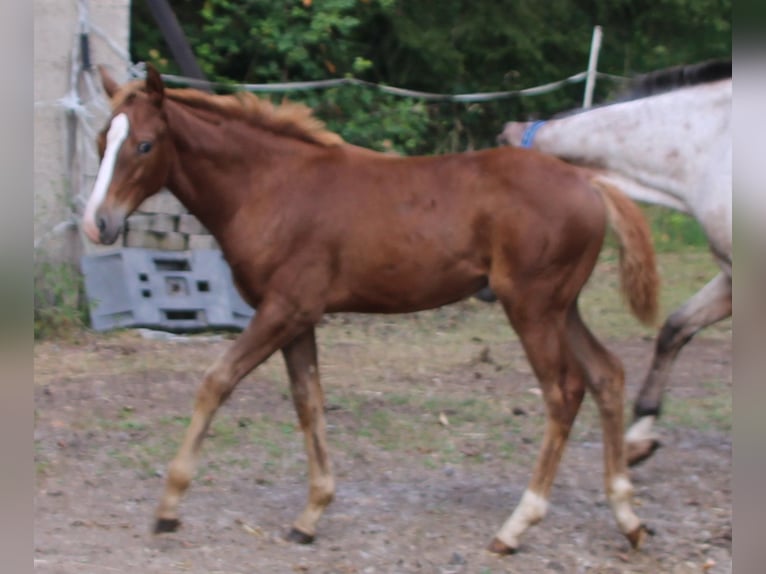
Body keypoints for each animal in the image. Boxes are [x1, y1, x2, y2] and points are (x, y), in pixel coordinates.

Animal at [82, 65, 660, 556]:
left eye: (144, 144)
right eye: (100, 143)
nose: (97, 224)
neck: (271, 186)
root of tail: (588, 181)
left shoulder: (283, 310)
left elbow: (216, 381)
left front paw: (168, 507)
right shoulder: (298, 318)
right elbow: (308, 401)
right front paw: (310, 515)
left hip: (532, 306)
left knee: (564, 393)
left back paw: (516, 526)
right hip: (561, 306)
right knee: (607, 375)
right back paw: (628, 518)